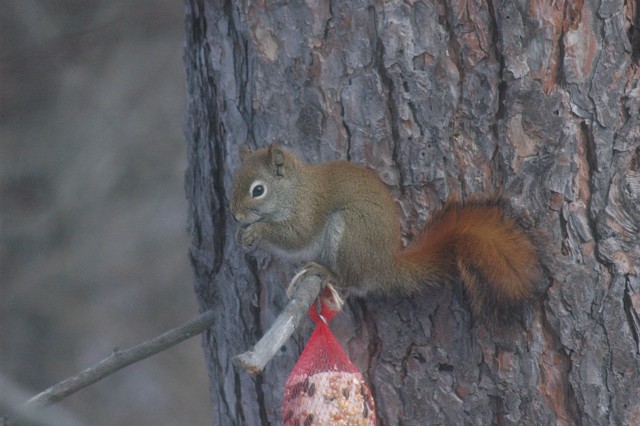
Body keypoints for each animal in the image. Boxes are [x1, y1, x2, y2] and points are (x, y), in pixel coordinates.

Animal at [230, 145, 542, 320]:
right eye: (234, 181)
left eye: (258, 190)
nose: (234, 216)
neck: (294, 190)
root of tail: (384, 265)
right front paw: (242, 235)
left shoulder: (308, 210)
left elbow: (296, 236)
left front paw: (256, 231)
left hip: (350, 232)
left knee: (351, 280)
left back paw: (326, 272)